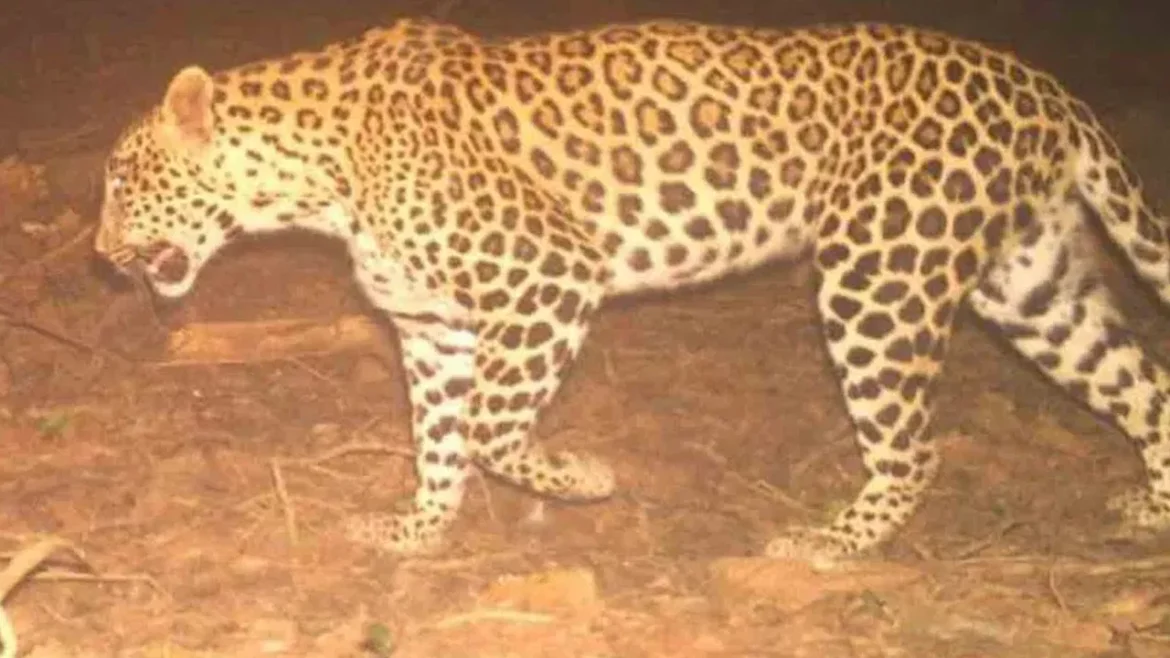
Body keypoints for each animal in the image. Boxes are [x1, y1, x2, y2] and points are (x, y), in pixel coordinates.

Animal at [95, 17, 1170, 562]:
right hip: (1032, 283)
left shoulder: (550, 276)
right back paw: (1152, 515)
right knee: (1145, 387)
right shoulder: (432, 325)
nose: (100, 254)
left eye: (122, 180)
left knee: (915, 446)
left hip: (880, 276)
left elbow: (491, 429)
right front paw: (416, 529)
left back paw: (830, 541)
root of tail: (1044, 85)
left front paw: (585, 478)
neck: (313, 174)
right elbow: (439, 437)